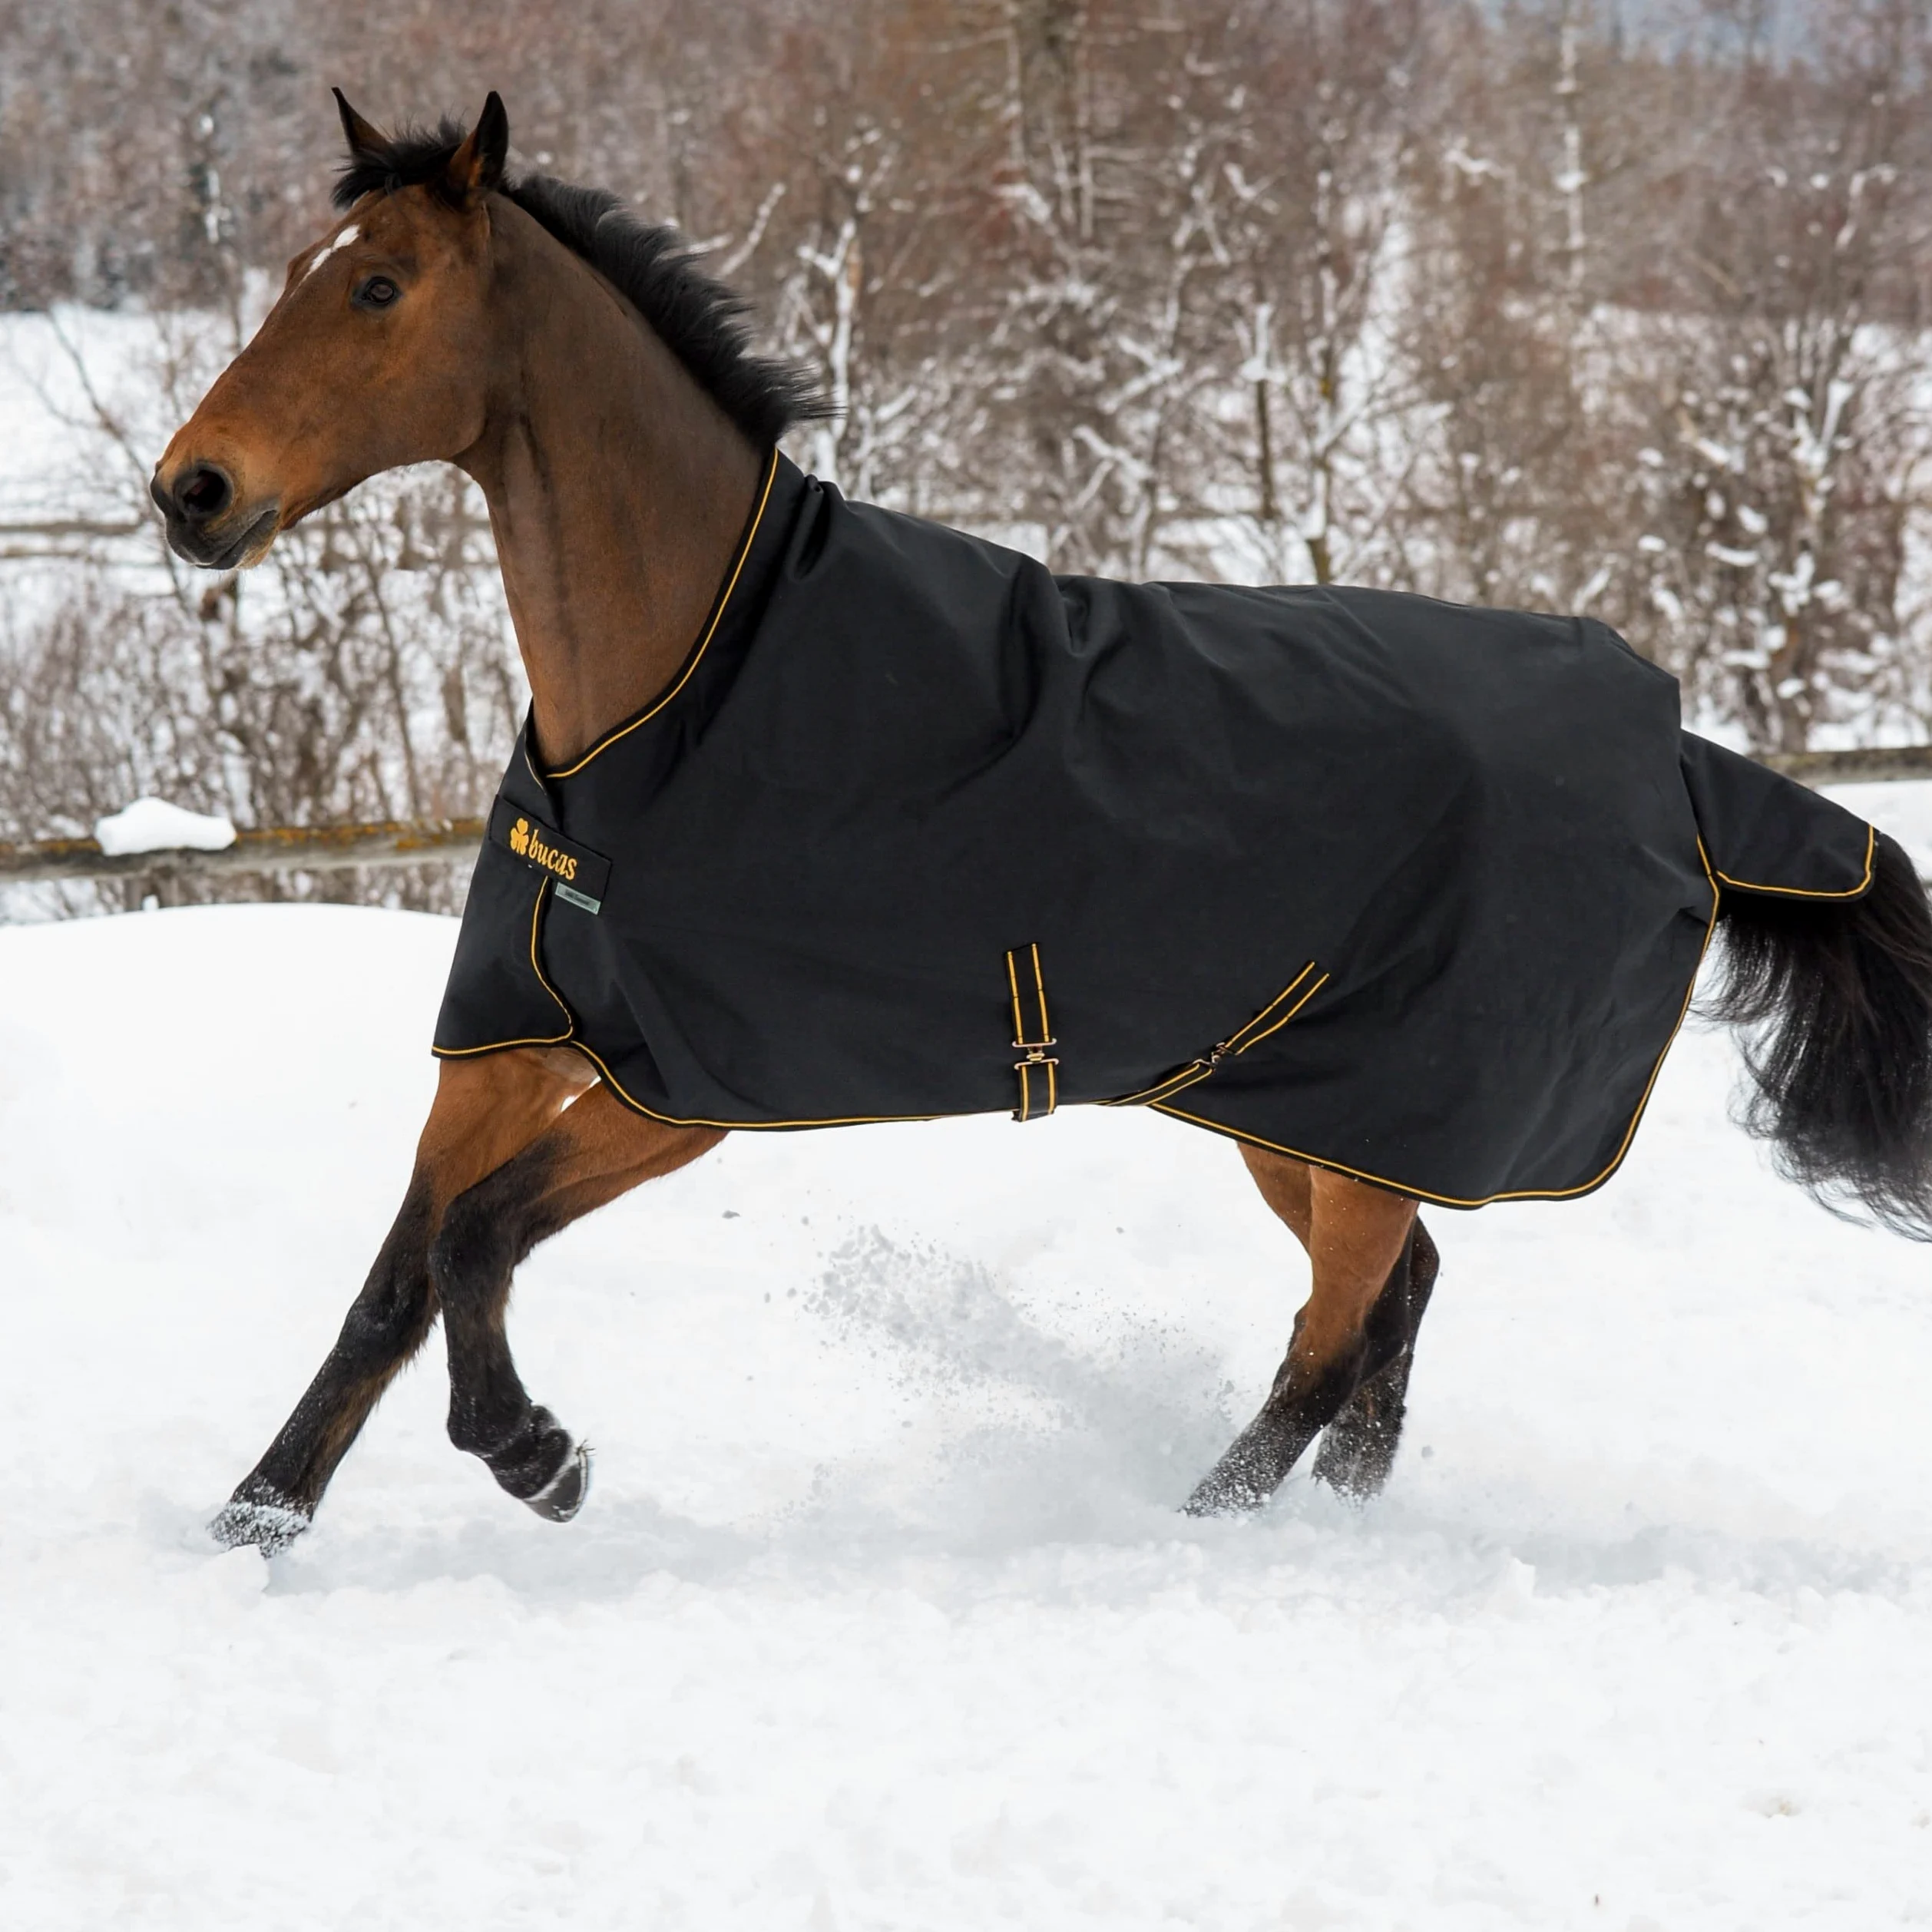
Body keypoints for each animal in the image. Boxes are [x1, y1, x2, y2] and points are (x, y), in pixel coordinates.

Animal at [152, 93, 1932, 1555]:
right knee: (1392, 1310)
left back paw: (1188, 1530)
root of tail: (1680, 755)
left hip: (1366, 1116)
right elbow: (397, 1278)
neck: (683, 689)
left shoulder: (688, 1087)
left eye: (379, 288)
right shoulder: (514, 1041)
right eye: (301, 265)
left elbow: (476, 1243)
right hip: (1300, 1110)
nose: (192, 493)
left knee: (1333, 1338)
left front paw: (540, 1459)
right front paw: (255, 1523)